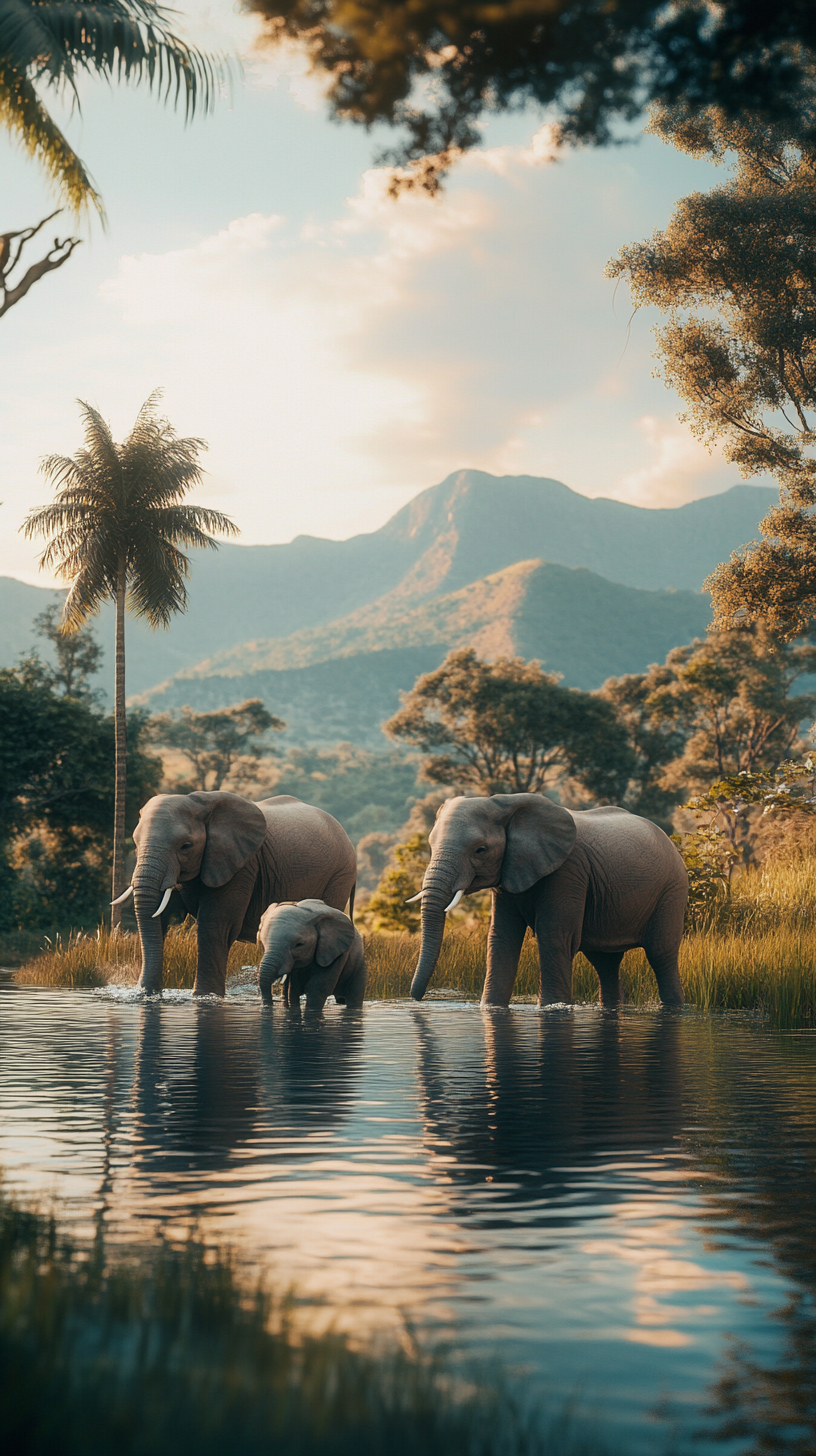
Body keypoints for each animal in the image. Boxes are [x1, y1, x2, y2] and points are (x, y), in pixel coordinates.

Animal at [118, 797, 357, 1001]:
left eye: (185, 846)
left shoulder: (241, 866)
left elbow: (215, 925)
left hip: (339, 876)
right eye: (135, 842)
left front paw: (205, 997)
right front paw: (147, 995)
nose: (146, 993)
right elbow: (161, 916)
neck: (200, 802)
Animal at [410, 797, 684, 1013]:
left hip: (672, 889)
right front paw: (491, 1008)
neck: (506, 804)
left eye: (480, 850)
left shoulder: (568, 870)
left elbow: (555, 936)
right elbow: (501, 939)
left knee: (660, 953)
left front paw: (552, 1008)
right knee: (605, 962)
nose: (416, 998)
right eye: (430, 846)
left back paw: (674, 1008)